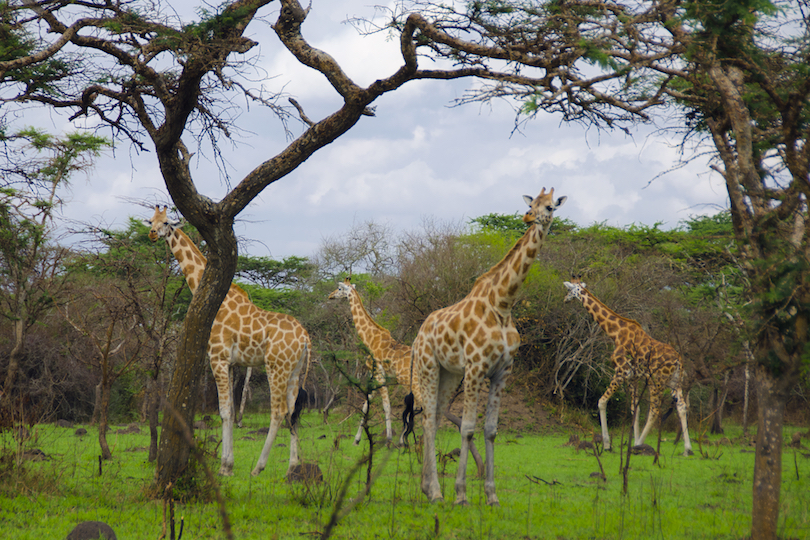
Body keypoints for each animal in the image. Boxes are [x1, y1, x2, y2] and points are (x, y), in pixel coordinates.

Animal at [144, 205, 310, 474]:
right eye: (151, 220)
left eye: (167, 222)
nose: (152, 234)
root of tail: (306, 337)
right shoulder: (232, 364)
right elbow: (231, 411)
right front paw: (228, 464)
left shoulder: (218, 358)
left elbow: (223, 412)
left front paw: (224, 466)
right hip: (295, 370)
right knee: (293, 411)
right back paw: (292, 467)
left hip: (276, 366)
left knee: (278, 412)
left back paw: (258, 467)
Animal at [326, 276, 410, 446]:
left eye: (339, 288)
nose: (330, 296)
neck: (370, 339)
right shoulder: (375, 376)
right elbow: (366, 405)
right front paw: (356, 440)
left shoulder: (379, 374)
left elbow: (386, 406)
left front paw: (388, 440)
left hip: (406, 378)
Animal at [408, 187, 564, 506]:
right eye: (531, 203)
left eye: (550, 207)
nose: (528, 217)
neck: (503, 305)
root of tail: (419, 335)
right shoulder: (476, 367)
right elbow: (468, 428)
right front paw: (461, 494)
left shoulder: (503, 371)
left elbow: (490, 430)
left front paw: (491, 495)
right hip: (429, 366)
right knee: (428, 418)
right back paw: (437, 492)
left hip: (448, 374)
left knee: (435, 417)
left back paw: (427, 488)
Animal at [560, 278, 692, 456]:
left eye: (568, 290)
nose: (565, 300)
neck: (615, 332)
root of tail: (678, 360)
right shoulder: (632, 377)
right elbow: (635, 409)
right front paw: (629, 441)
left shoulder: (621, 371)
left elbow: (602, 402)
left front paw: (608, 445)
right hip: (674, 381)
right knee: (682, 407)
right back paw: (687, 449)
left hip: (656, 380)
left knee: (655, 410)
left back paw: (640, 444)